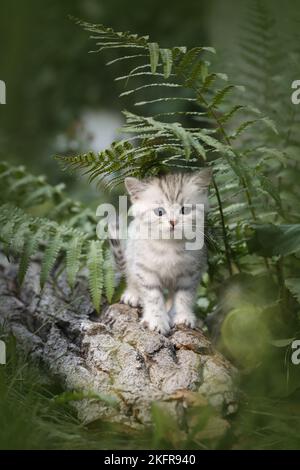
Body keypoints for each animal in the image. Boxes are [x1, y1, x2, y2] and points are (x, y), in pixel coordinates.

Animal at [109, 169, 211, 334]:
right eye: (160, 212)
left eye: (184, 210)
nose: (173, 222)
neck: (170, 246)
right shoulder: (145, 269)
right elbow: (153, 296)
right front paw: (157, 321)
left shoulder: (191, 271)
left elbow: (184, 295)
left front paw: (182, 316)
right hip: (131, 252)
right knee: (130, 275)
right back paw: (133, 294)